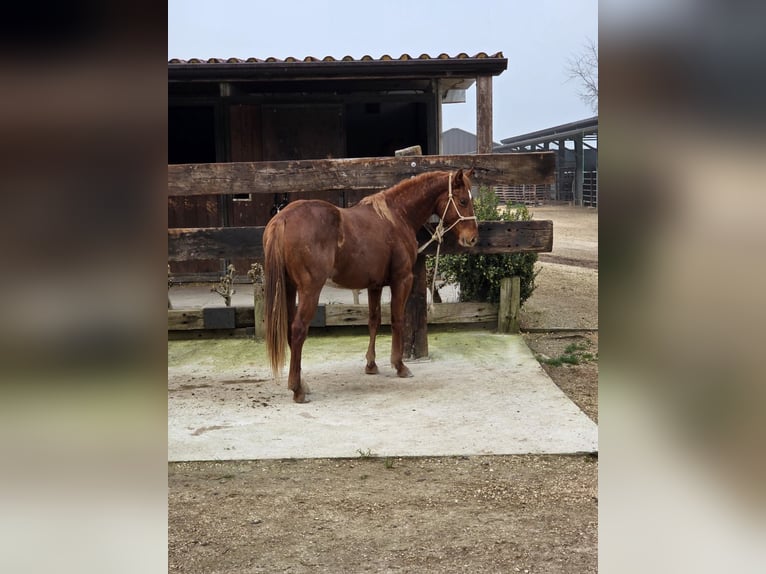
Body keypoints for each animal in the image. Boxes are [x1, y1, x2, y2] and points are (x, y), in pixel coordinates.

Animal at [263, 169, 478, 402]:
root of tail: (282, 218)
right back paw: (297, 389)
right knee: (298, 329)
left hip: (289, 288)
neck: (396, 216)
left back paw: (302, 383)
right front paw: (399, 365)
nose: (473, 238)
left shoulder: (374, 285)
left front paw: (371, 364)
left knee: (289, 329)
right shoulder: (402, 280)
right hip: (310, 290)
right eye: (463, 200)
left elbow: (374, 321)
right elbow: (397, 319)